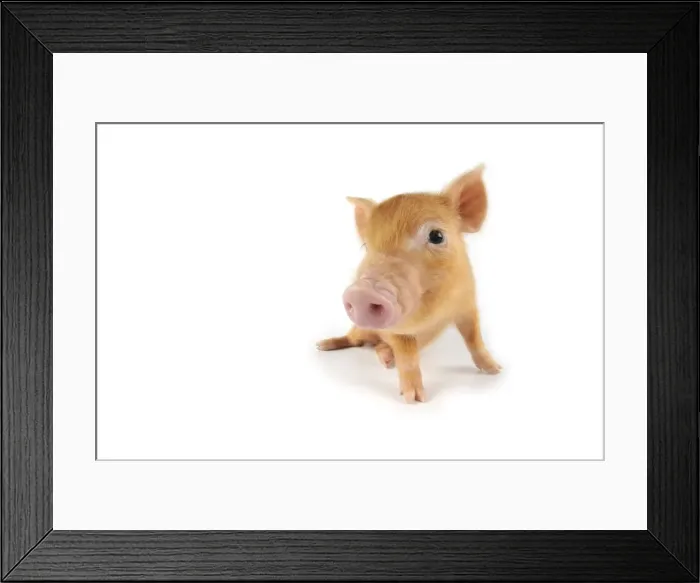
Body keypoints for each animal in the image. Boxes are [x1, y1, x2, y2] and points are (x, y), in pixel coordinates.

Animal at [317, 164, 501, 403]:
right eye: (366, 246)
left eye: (436, 236)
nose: (362, 292)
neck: (433, 315)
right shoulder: (398, 330)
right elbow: (408, 357)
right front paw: (415, 400)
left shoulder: (468, 305)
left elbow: (474, 339)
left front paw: (496, 370)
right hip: (359, 329)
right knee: (352, 339)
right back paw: (323, 345)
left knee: (378, 347)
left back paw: (386, 358)